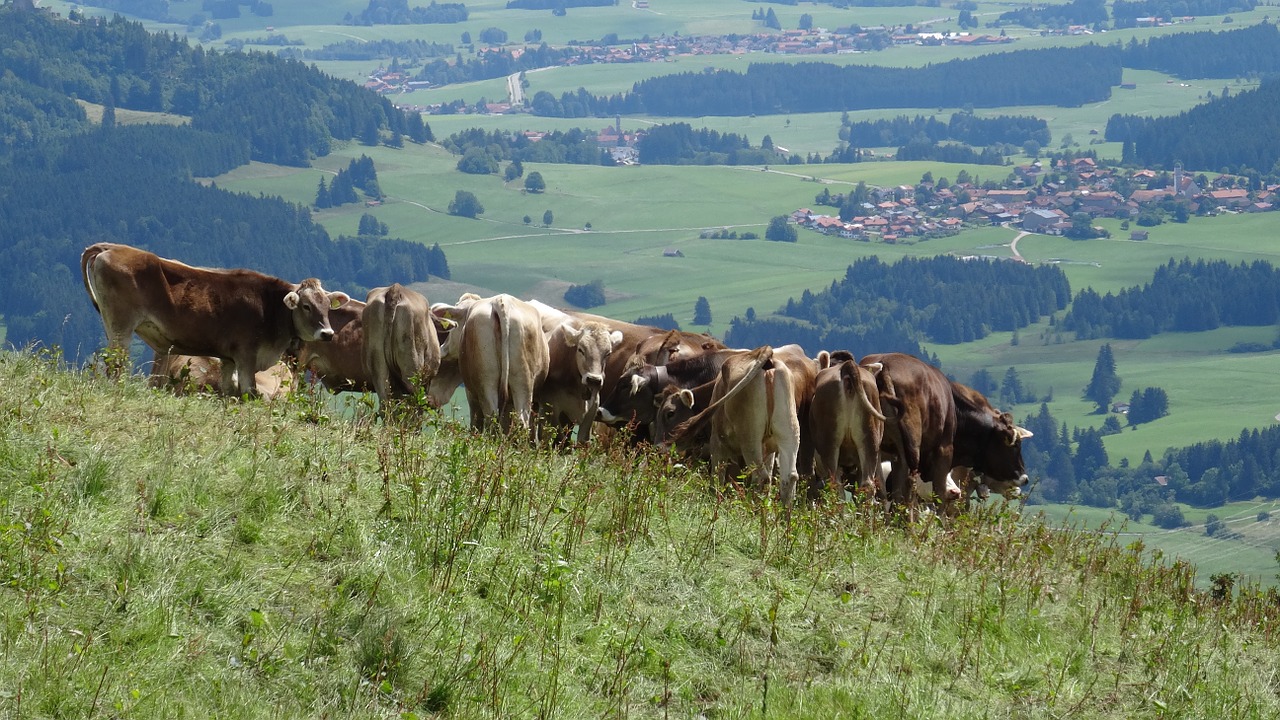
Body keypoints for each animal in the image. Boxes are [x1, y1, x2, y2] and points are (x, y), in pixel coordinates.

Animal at [82, 243, 348, 394]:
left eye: (327, 307)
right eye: (306, 306)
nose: (328, 334)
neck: (271, 308)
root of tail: (110, 247)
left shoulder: (228, 358)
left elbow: (229, 390)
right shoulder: (246, 355)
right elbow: (249, 391)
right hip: (121, 326)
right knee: (115, 364)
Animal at [430, 293, 550, 427]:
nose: (441, 347)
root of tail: (502, 301)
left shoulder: (472, 396)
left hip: (486, 382)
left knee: (491, 418)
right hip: (522, 381)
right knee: (520, 421)